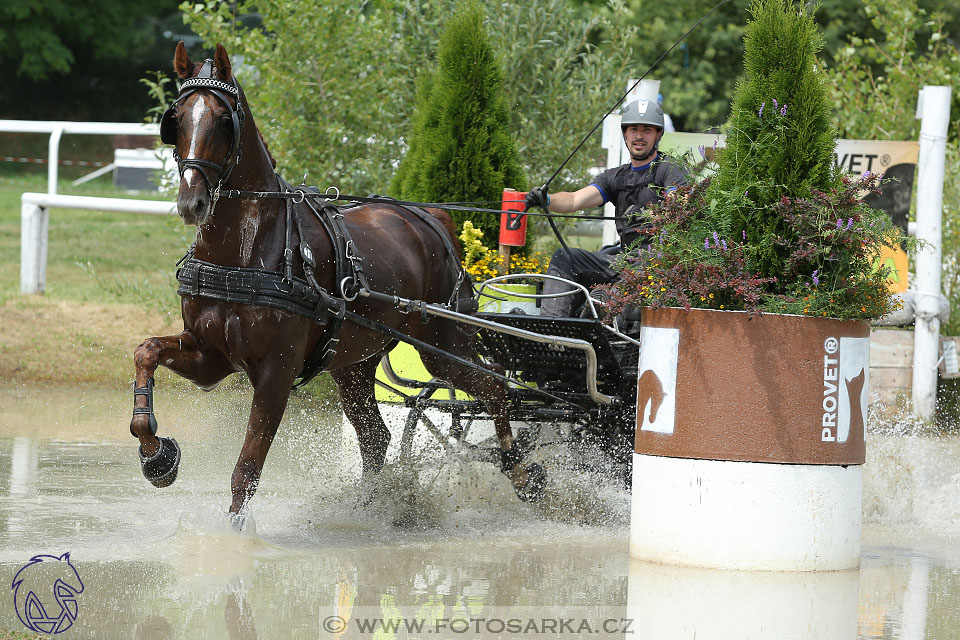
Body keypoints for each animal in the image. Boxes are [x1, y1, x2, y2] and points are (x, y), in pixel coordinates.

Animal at [131, 42, 544, 520]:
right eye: (176, 119)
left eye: (221, 120)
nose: (191, 202)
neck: (245, 253)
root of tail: (430, 218)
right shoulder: (211, 356)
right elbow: (146, 351)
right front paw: (156, 455)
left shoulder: (276, 372)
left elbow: (247, 469)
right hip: (355, 362)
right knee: (377, 438)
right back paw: (369, 507)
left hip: (442, 344)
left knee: (493, 384)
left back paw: (520, 472)